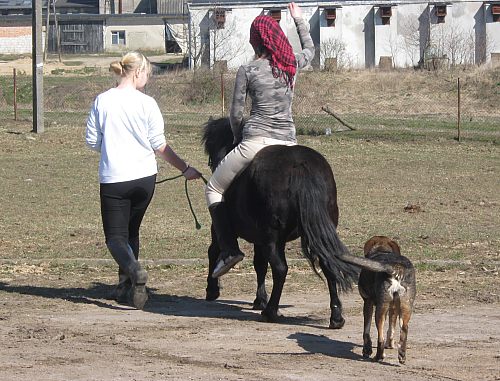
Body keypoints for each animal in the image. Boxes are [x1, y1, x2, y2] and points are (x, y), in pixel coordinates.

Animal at [202, 117, 360, 328]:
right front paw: (259, 299)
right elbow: (259, 264)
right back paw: (336, 317)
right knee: (327, 265)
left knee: (280, 268)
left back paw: (270, 312)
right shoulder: (261, 239)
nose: (212, 163)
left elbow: (214, 251)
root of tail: (299, 165)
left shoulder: (225, 230)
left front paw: (213, 289)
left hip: (272, 237)